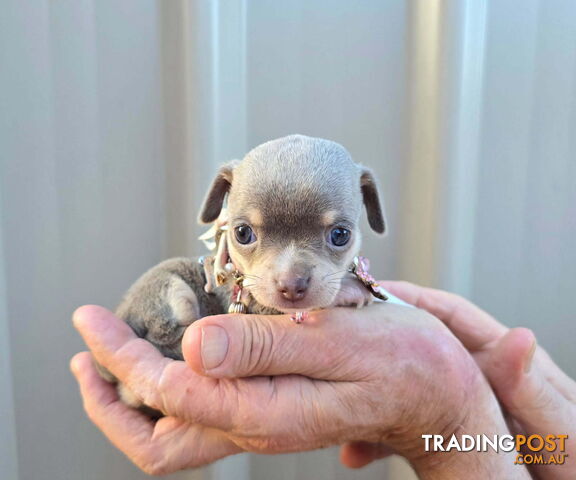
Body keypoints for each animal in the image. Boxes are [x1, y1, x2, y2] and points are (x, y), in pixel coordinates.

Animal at [98, 134, 388, 408]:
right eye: (242, 233)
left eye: (340, 235)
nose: (292, 285)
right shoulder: (254, 302)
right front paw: (350, 289)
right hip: (173, 291)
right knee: (164, 334)